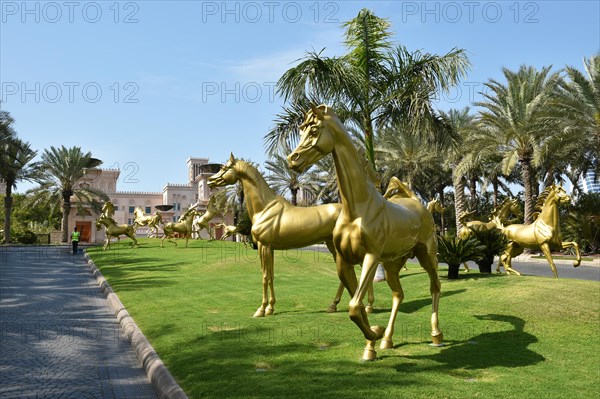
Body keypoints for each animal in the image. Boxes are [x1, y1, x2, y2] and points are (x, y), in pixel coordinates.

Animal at [209, 156, 372, 318]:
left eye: (224, 168)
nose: (211, 181)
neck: (264, 208)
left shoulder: (264, 246)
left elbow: (265, 276)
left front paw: (261, 310)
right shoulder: (269, 248)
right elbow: (271, 276)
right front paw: (270, 308)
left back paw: (367, 306)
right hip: (333, 245)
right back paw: (335, 305)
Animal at [288, 105, 442, 362]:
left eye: (314, 130)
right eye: (300, 131)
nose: (293, 160)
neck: (357, 210)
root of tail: (418, 204)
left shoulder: (370, 258)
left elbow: (353, 306)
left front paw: (375, 334)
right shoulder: (344, 262)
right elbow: (357, 306)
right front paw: (371, 345)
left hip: (427, 256)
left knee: (435, 287)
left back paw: (436, 334)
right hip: (392, 264)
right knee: (398, 294)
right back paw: (388, 340)